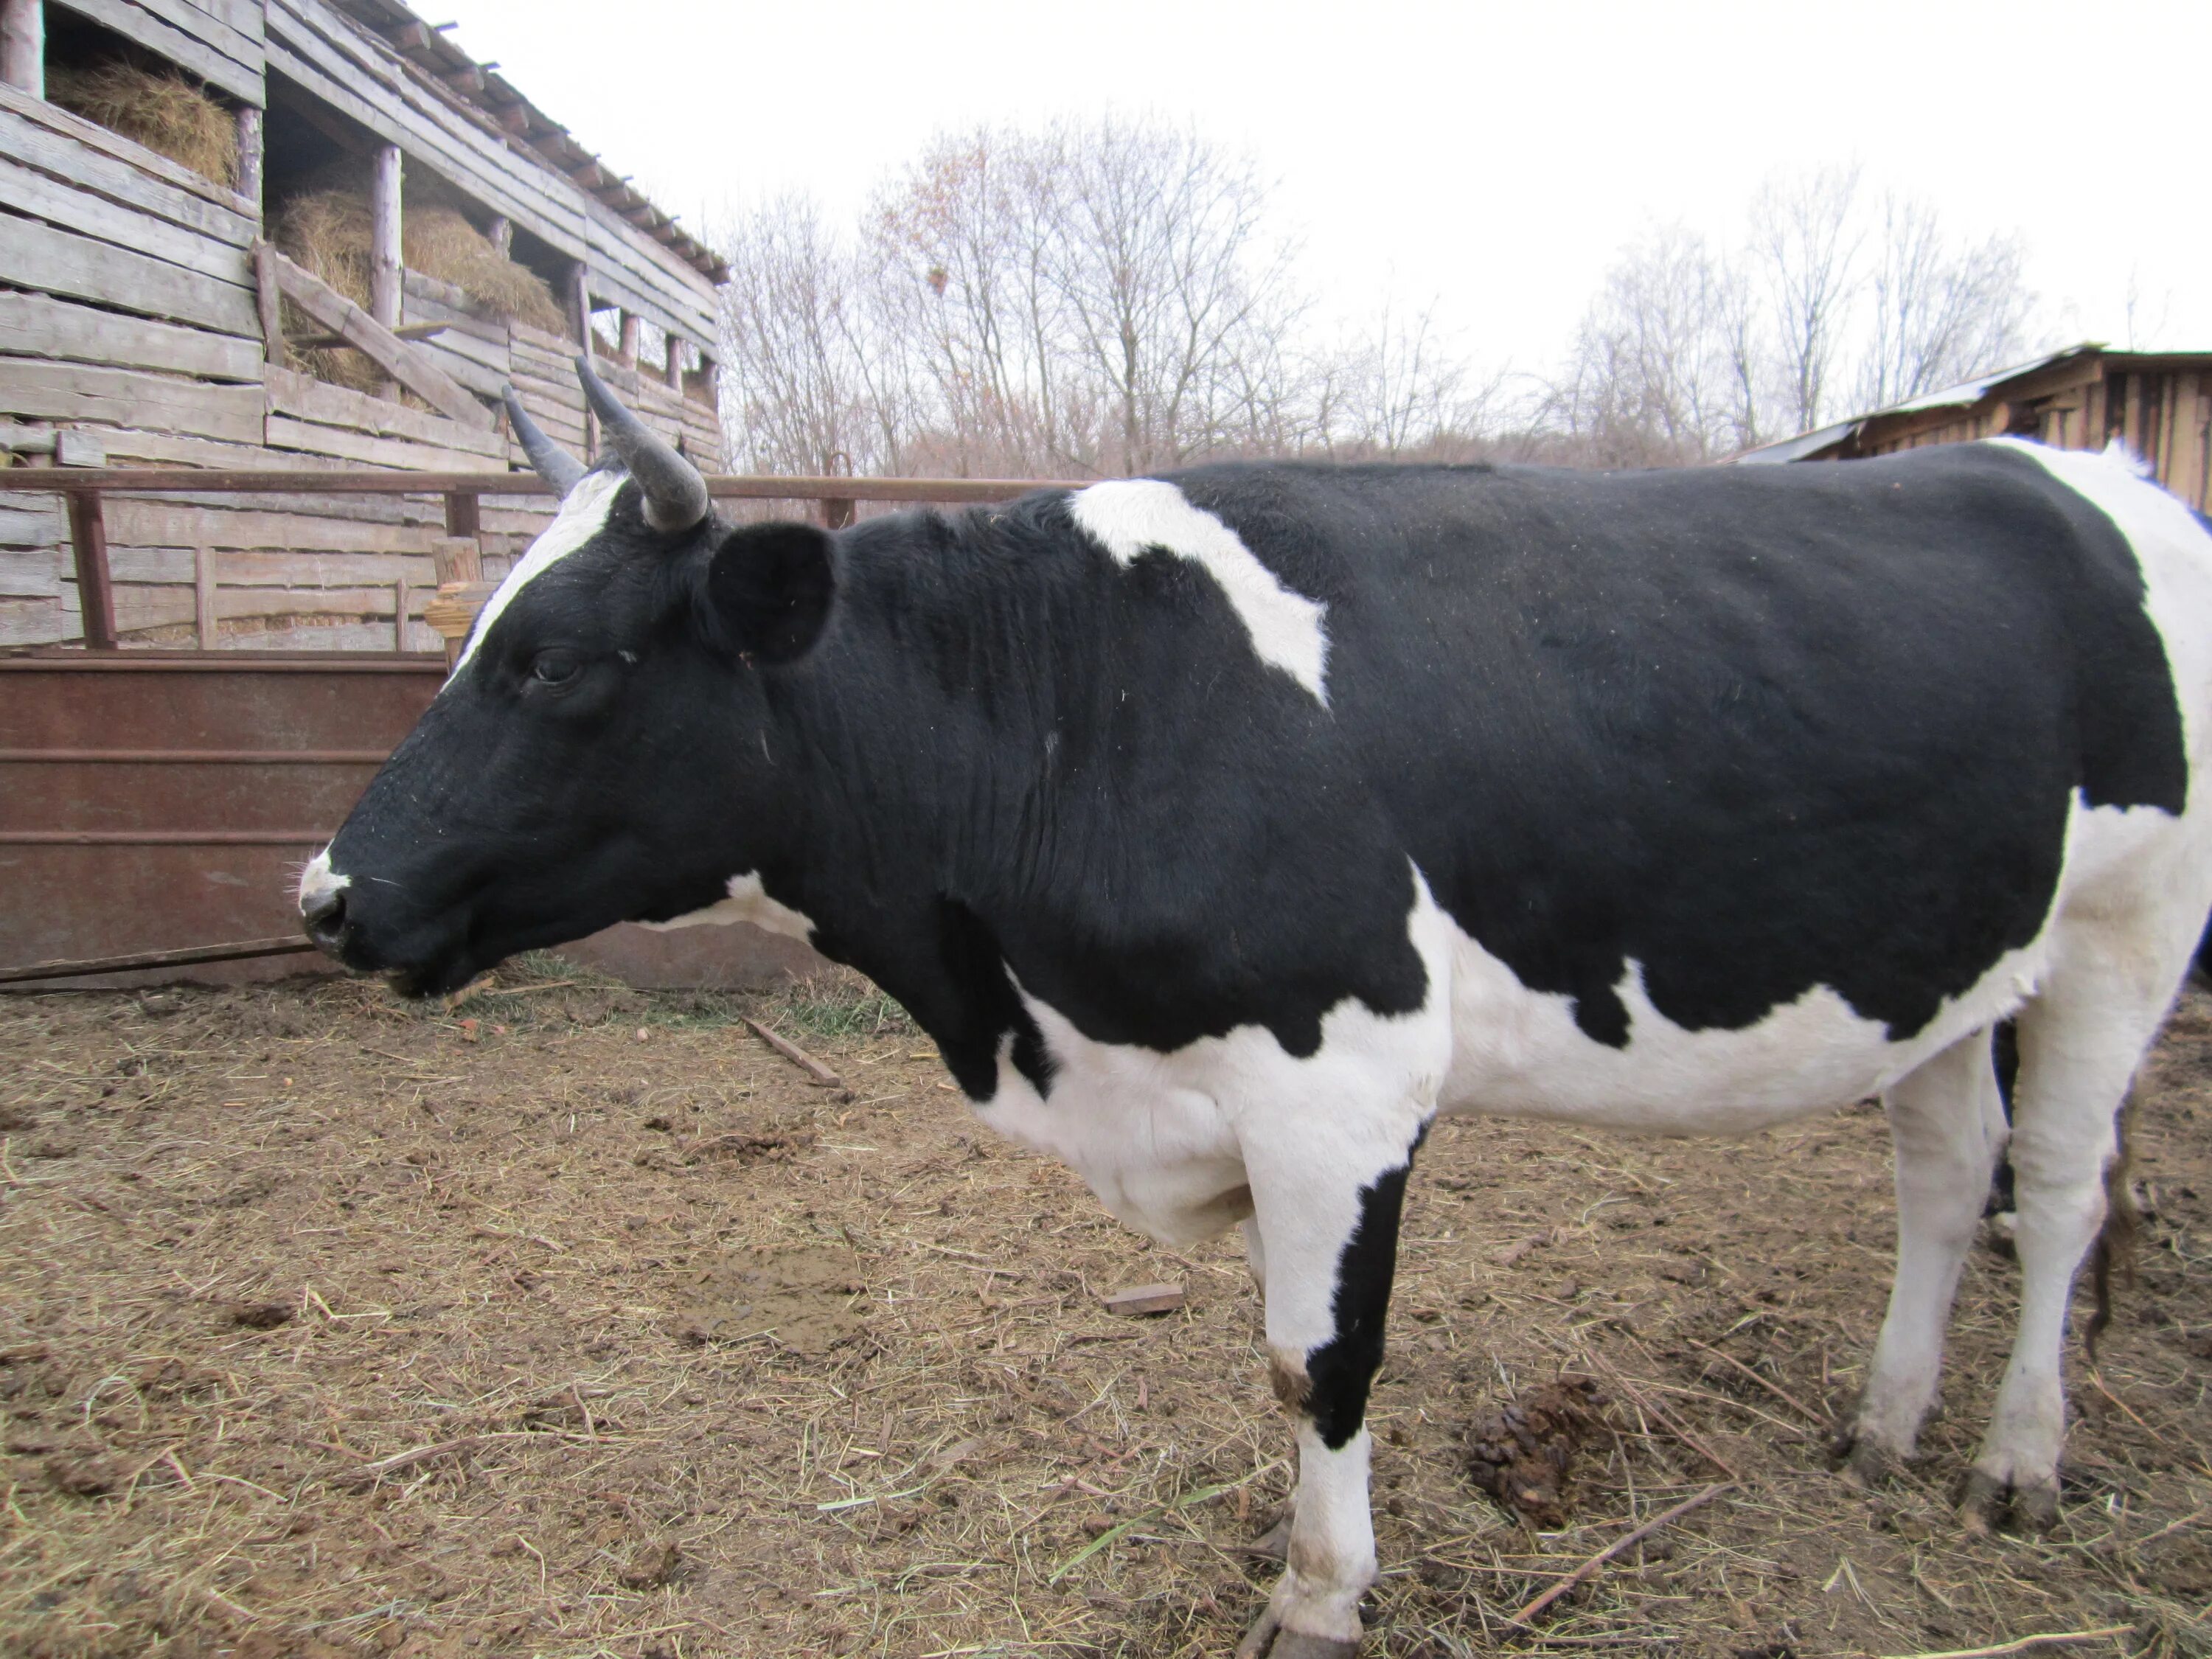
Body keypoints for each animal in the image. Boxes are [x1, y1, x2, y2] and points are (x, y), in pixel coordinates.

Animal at [303, 367, 2212, 1659]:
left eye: (559, 662)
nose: (327, 893)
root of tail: (2083, 464)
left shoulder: (1338, 1081)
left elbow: (1318, 1362)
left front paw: (1318, 1596)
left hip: (2125, 937)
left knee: (2056, 1190)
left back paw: (2015, 1459)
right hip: (1950, 965)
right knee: (1941, 1171)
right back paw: (1882, 1426)